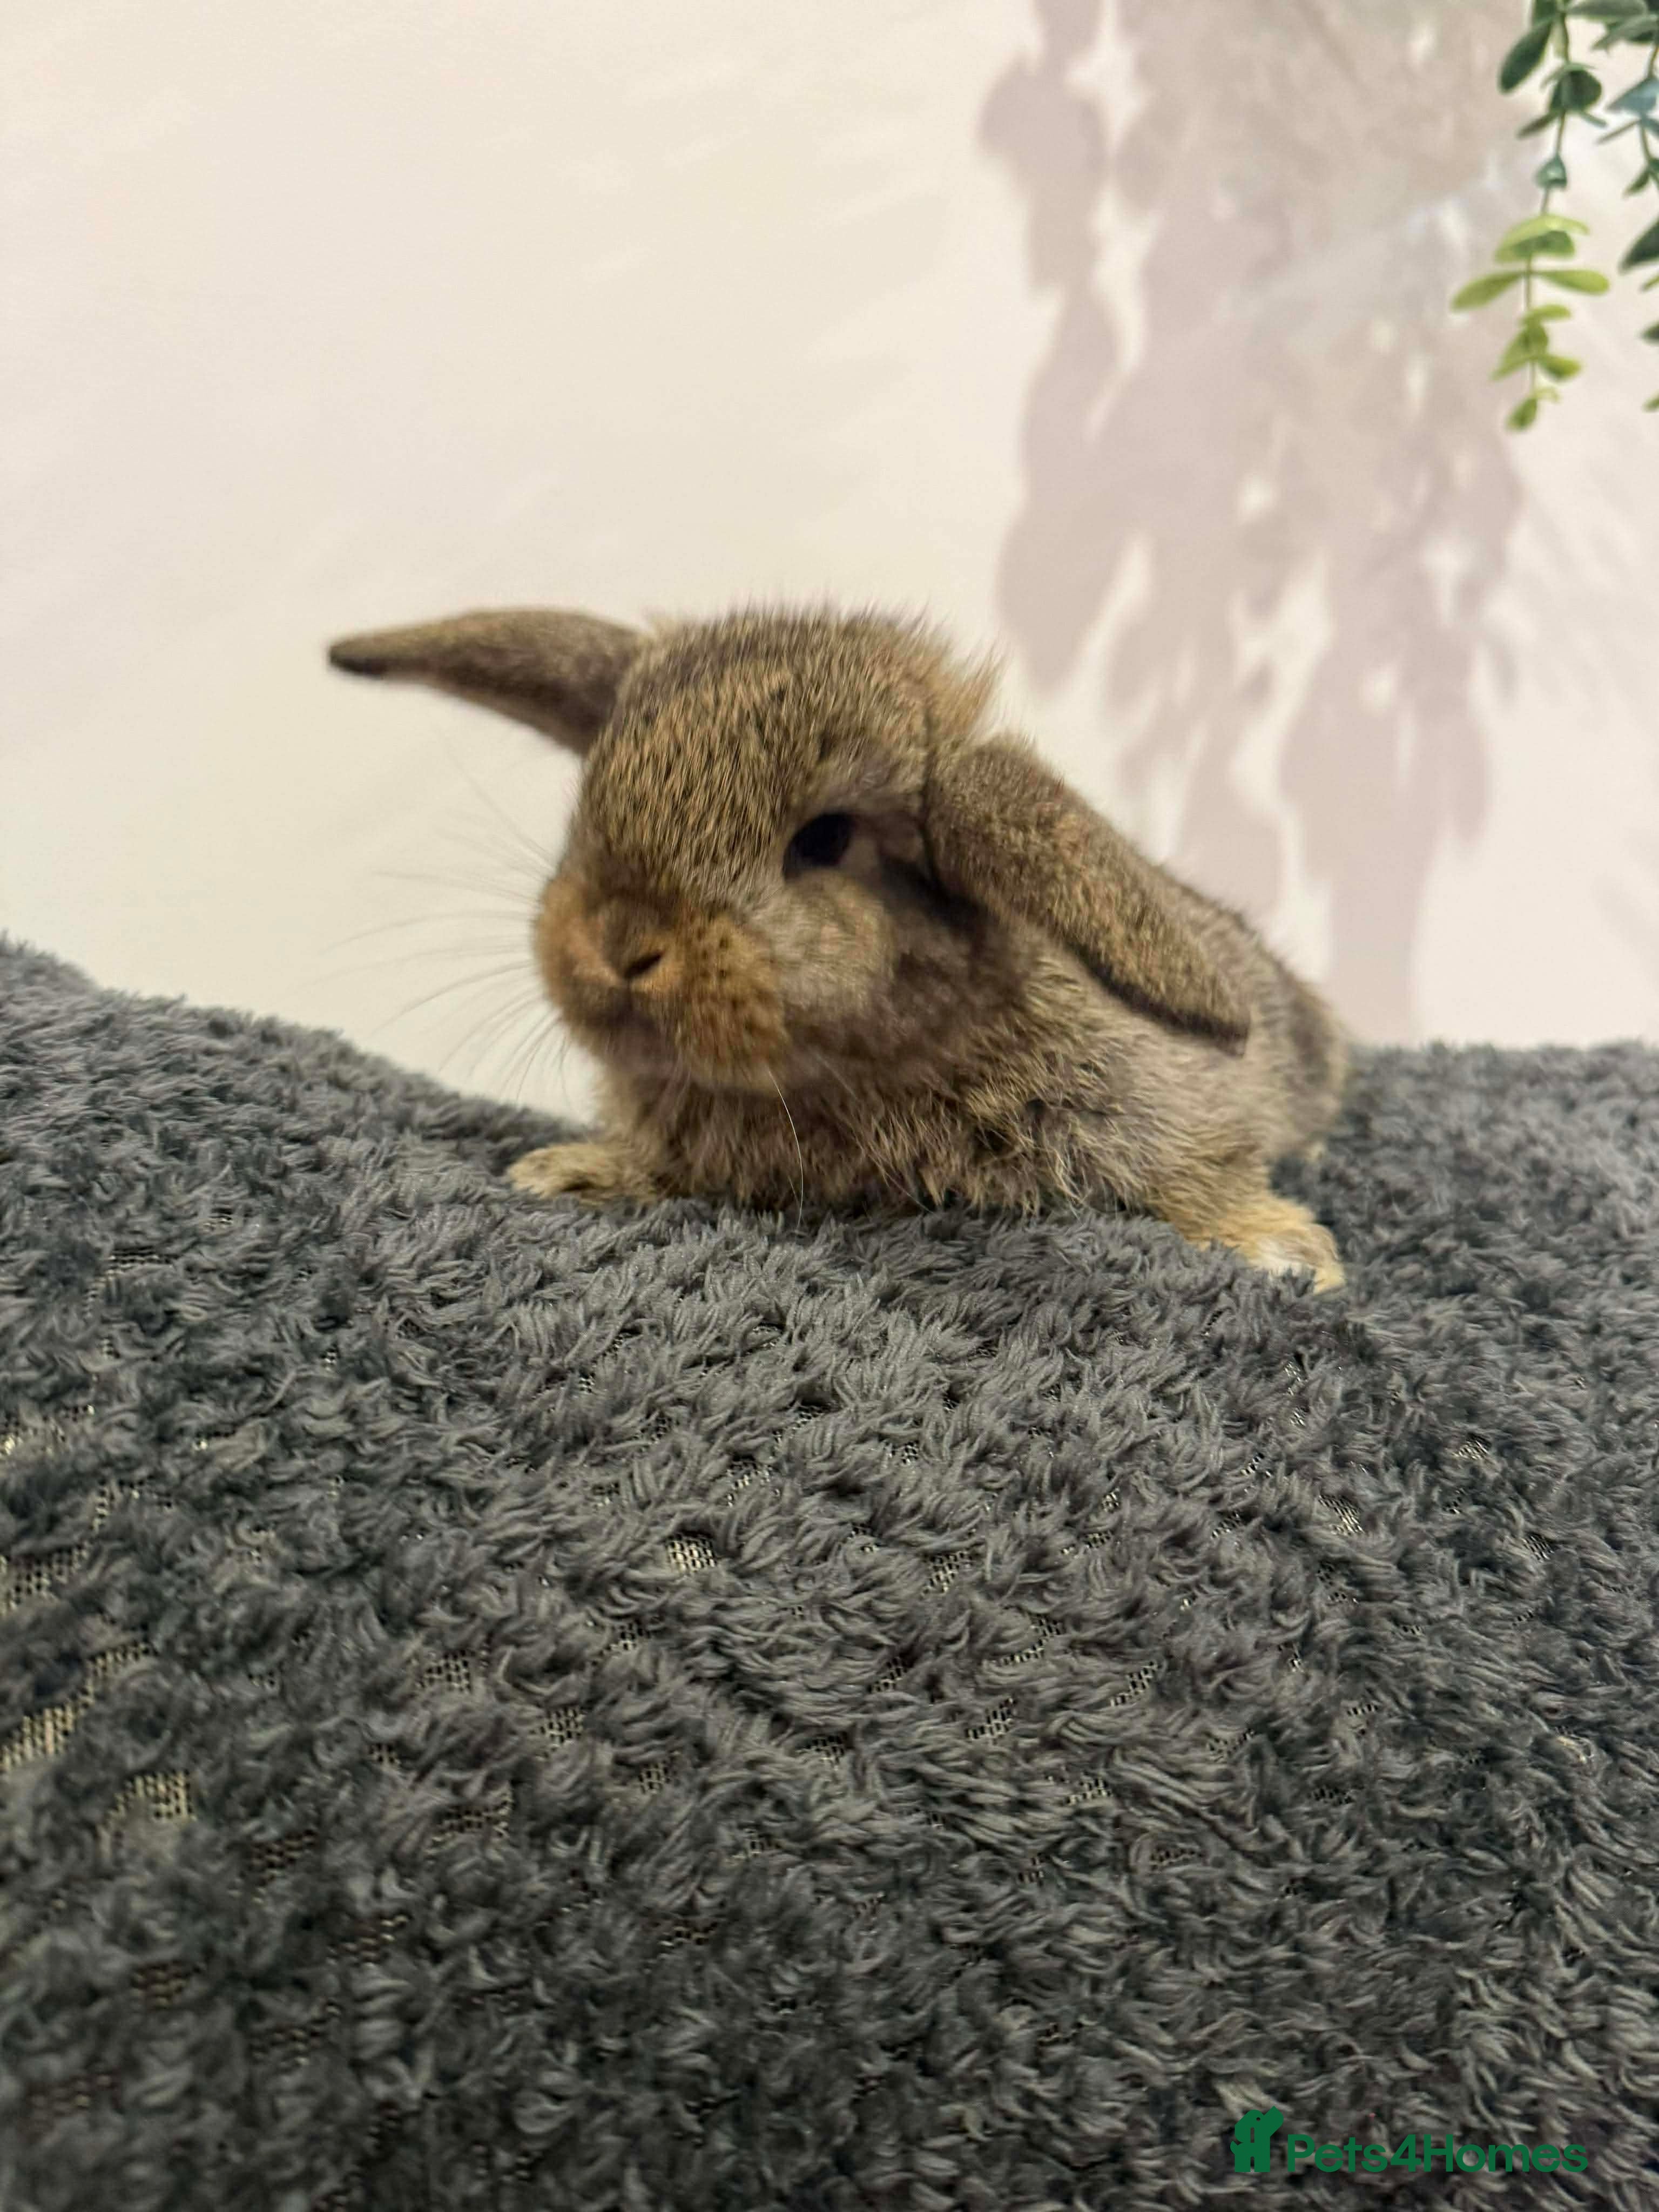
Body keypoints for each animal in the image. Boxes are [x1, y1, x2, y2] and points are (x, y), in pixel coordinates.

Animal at [328, 602, 1350, 1291]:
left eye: (825, 840)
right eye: (596, 788)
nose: (619, 944)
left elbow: (1197, 1172)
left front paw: (1284, 1252)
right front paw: (570, 1174)